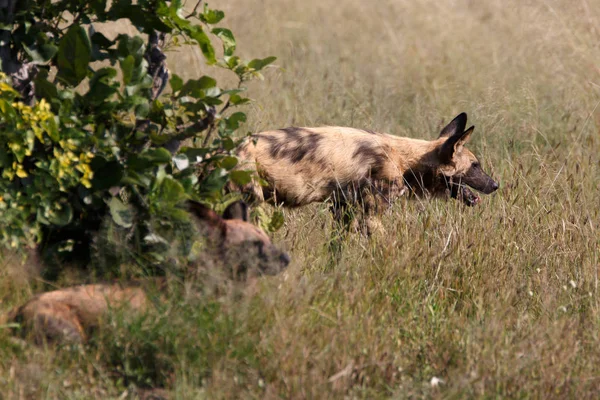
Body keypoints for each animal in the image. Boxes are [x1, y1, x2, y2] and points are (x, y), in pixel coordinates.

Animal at [237, 112, 500, 230]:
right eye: (475, 166)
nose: (496, 185)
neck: (405, 160)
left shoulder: (342, 210)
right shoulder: (372, 216)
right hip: (254, 206)